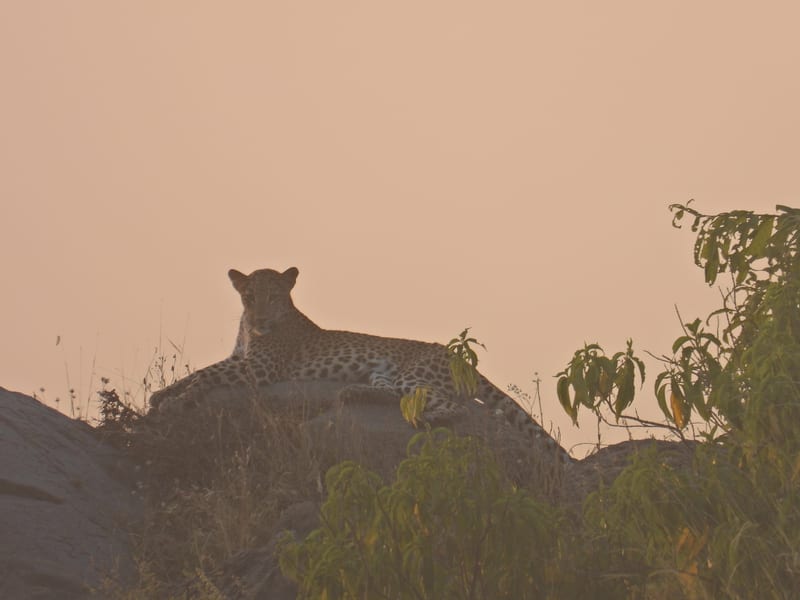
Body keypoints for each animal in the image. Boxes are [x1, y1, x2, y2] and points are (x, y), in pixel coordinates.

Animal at [149, 267, 572, 463]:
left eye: (274, 296)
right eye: (249, 296)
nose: (260, 319)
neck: (248, 328)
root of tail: (456, 354)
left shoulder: (260, 369)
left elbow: (204, 374)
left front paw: (173, 402)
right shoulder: (239, 359)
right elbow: (199, 371)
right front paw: (161, 395)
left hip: (414, 374)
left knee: (451, 407)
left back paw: (425, 420)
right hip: (385, 373)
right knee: (392, 394)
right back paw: (351, 393)